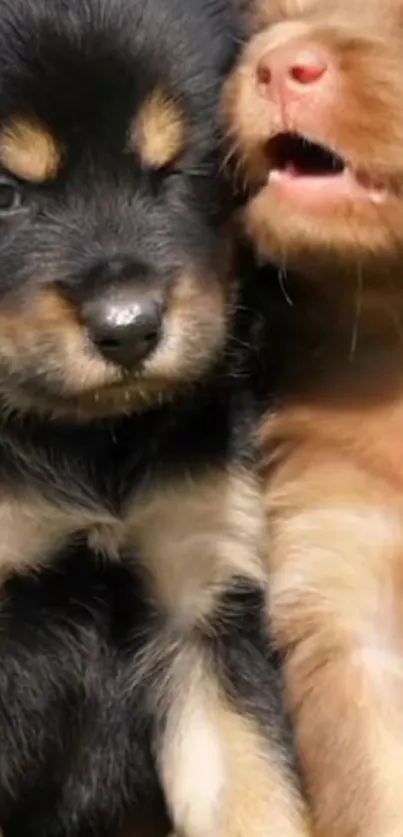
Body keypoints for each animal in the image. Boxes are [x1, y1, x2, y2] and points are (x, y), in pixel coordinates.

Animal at [0, 1, 312, 836]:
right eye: (4, 194)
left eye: (180, 167)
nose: (129, 328)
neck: (86, 444)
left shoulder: (200, 596)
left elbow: (258, 796)